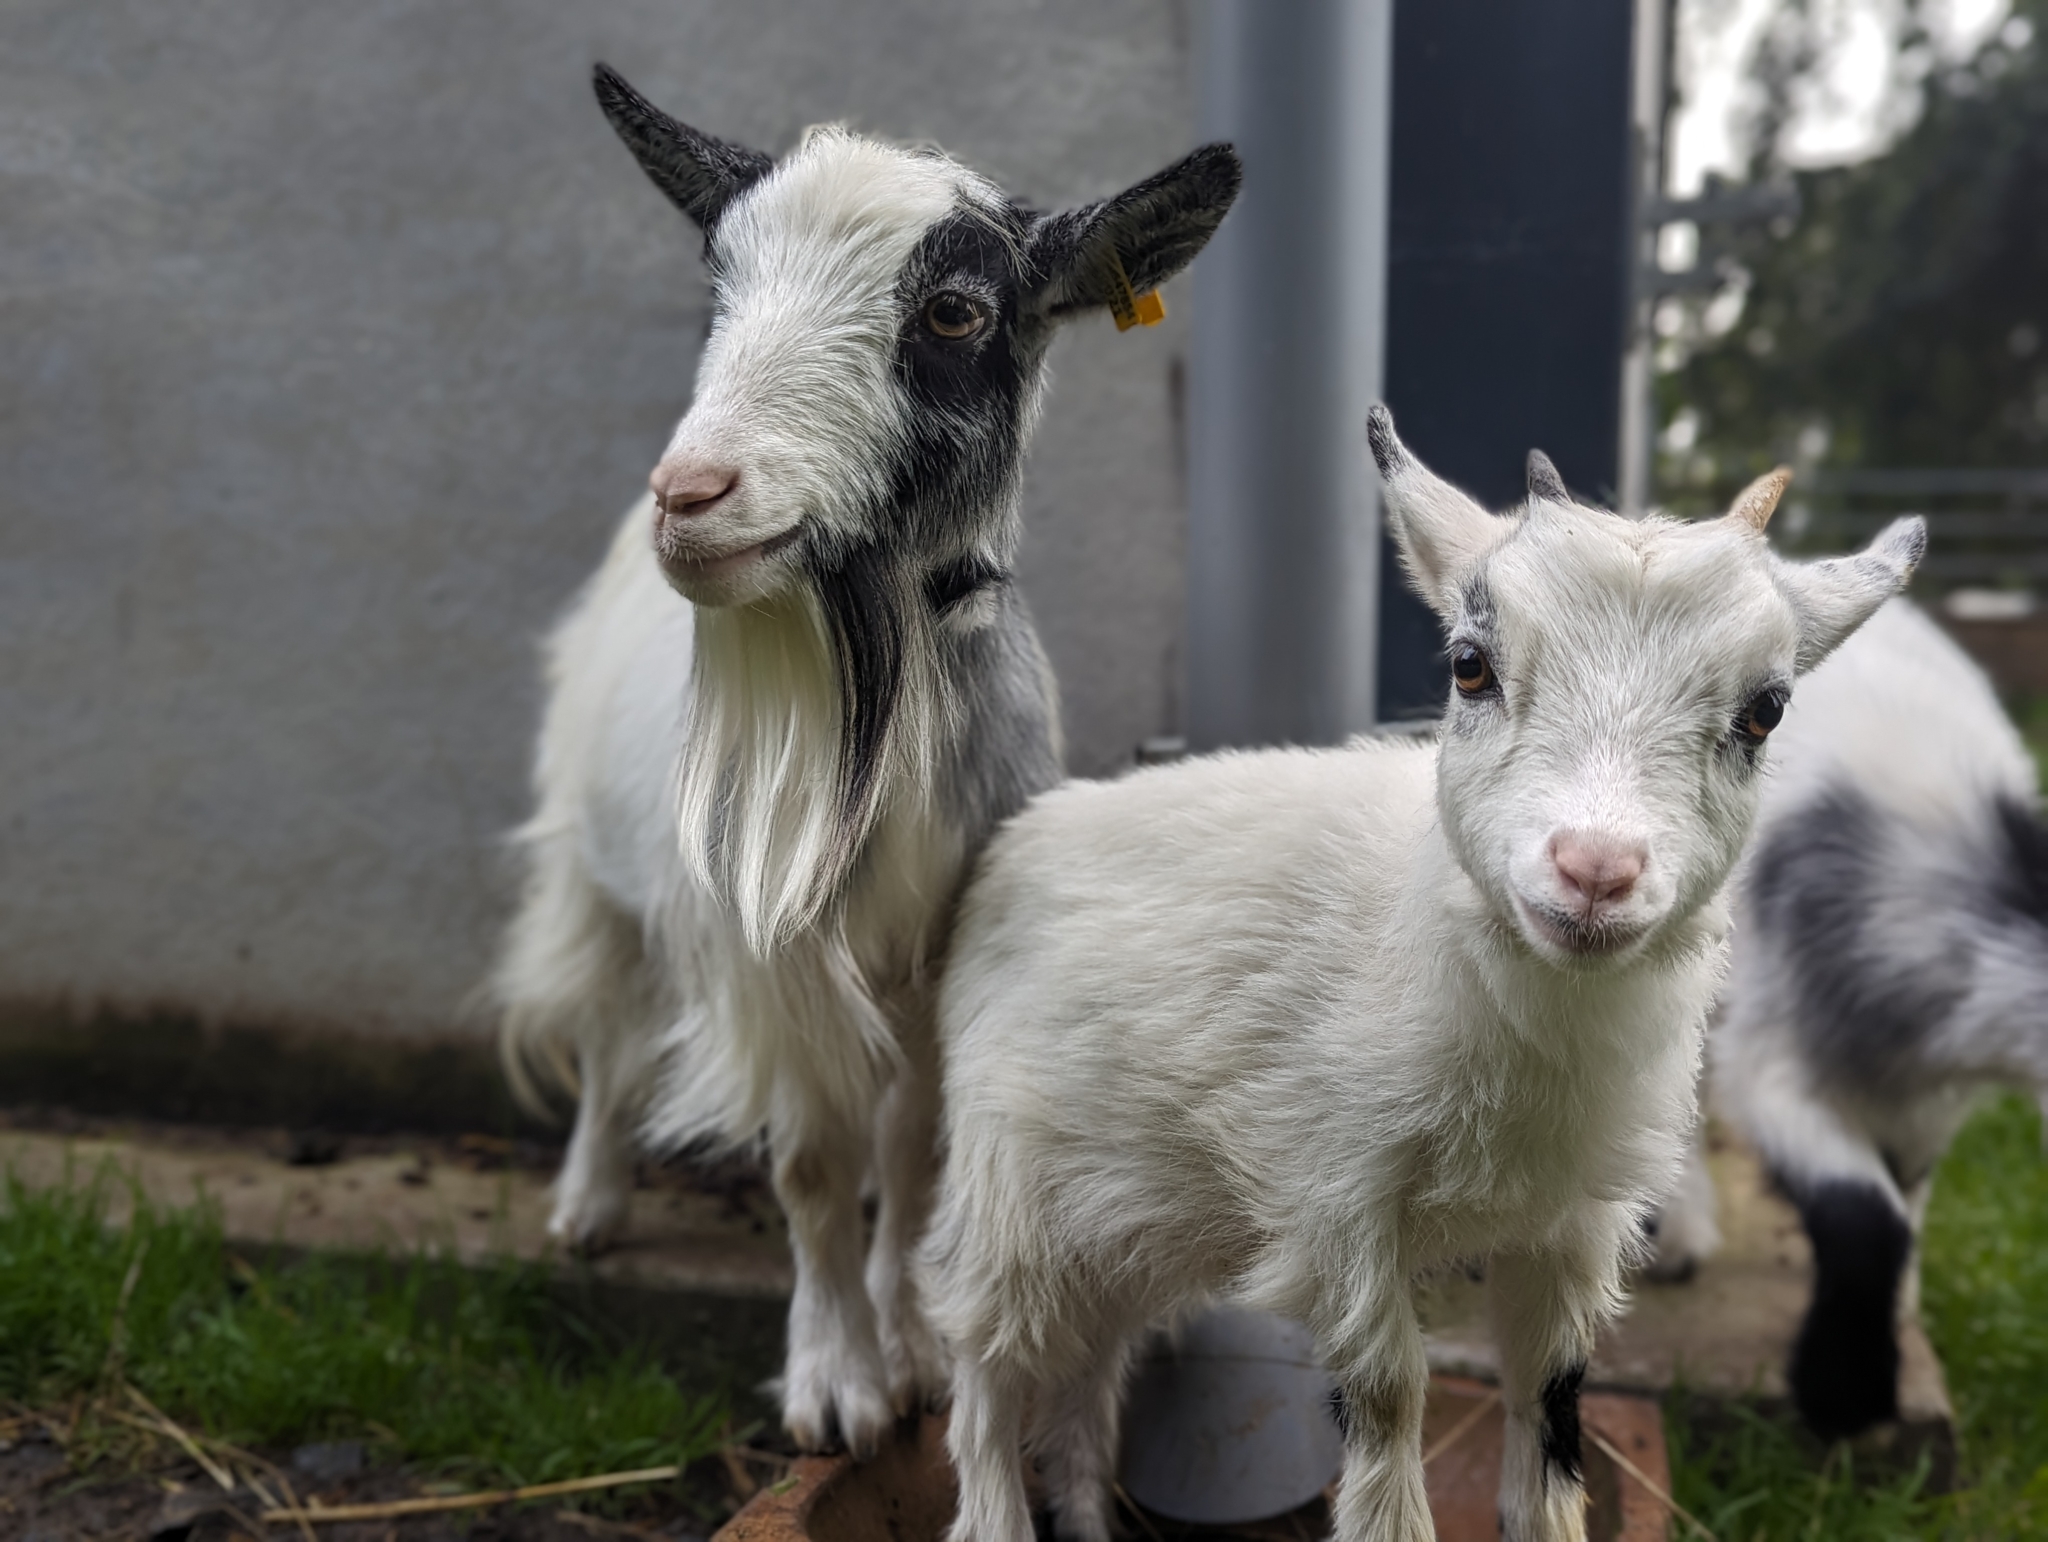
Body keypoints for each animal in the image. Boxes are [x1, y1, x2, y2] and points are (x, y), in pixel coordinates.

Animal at [490, 64, 1240, 1457]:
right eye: (719, 288)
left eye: (952, 309)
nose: (692, 494)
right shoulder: (768, 950)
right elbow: (815, 1157)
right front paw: (836, 1387)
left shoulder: (951, 943)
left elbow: (907, 1147)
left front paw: (917, 1351)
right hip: (599, 861)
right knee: (610, 1025)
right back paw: (588, 1206)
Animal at [917, 410, 1922, 1542]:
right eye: (1469, 665)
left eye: (1765, 711)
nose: (1594, 871)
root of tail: (1022, 838)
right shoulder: (1338, 1197)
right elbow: (1391, 1399)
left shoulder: (1570, 1223)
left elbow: (1551, 1399)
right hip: (1008, 1191)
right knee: (985, 1370)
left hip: (1122, 1214)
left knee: (1089, 1369)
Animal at [1647, 597, 2048, 1439]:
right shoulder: (1776, 1061)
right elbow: (1864, 1214)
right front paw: (1844, 1397)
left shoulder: (1927, 1092)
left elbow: (1908, 1193)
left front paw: (1894, 1322)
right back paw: (1674, 1239)